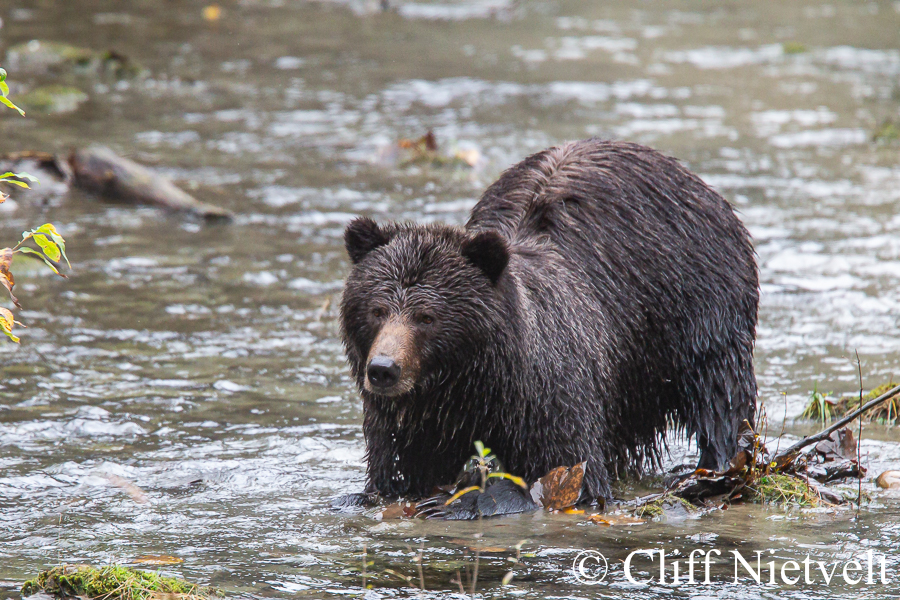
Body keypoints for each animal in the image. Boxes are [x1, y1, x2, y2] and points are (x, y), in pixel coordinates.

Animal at [342, 138, 756, 504]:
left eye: (427, 317)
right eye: (377, 309)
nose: (383, 369)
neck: (470, 383)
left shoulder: (549, 393)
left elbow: (567, 471)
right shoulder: (414, 419)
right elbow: (400, 469)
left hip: (696, 306)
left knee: (719, 392)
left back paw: (718, 464)